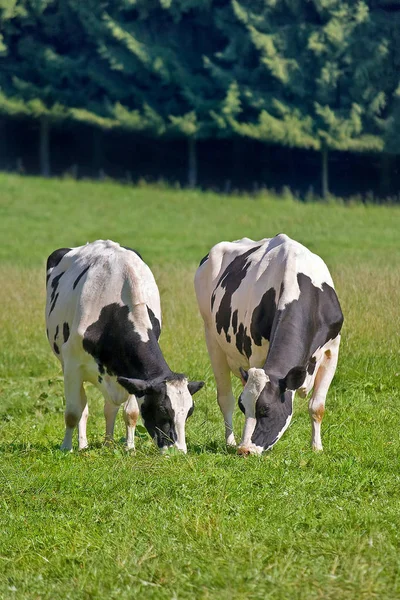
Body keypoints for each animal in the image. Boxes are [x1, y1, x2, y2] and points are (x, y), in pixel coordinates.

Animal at [45, 238, 203, 450]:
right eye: (163, 410)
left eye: (189, 412)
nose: (179, 451)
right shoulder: (72, 366)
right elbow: (73, 412)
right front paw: (66, 448)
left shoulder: (133, 376)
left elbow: (131, 413)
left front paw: (130, 448)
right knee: (83, 406)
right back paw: (82, 445)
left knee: (109, 408)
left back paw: (108, 443)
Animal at [195, 234, 344, 454]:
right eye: (243, 407)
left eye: (266, 409)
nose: (244, 450)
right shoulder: (257, 354)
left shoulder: (331, 351)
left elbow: (317, 406)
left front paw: (317, 447)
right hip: (212, 339)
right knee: (224, 399)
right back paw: (230, 441)